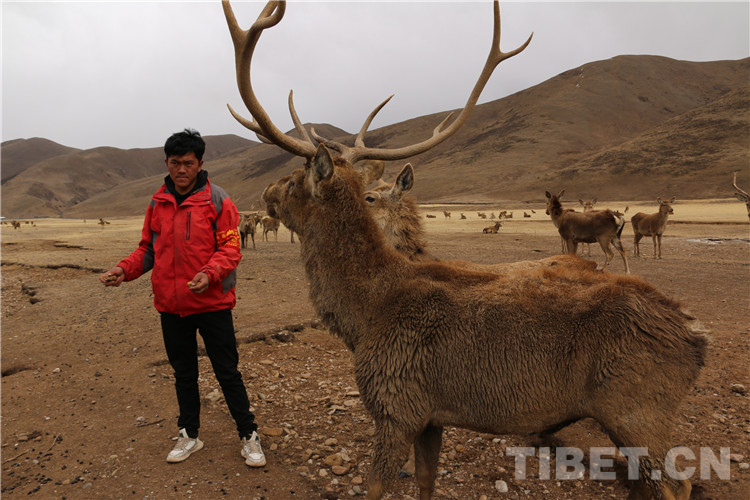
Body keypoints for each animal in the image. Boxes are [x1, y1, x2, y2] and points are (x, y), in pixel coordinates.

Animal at [224, 2, 702, 499]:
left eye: (295, 181)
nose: (265, 193)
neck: (364, 316)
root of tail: (696, 335)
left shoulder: (397, 404)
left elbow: (375, 486)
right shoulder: (432, 417)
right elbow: (426, 482)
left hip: (638, 411)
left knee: (678, 483)